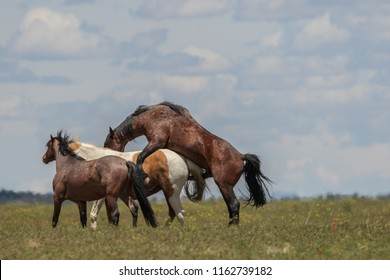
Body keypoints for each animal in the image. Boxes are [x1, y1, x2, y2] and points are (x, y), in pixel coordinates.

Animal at [68, 138, 207, 228]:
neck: (95, 162)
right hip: (168, 192)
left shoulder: (103, 195)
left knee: (179, 213)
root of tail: (182, 157)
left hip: (172, 192)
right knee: (174, 213)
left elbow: (94, 214)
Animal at [105, 100, 272, 225]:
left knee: (234, 205)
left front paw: (143, 174)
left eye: (108, 142)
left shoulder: (156, 142)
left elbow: (141, 157)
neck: (153, 117)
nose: (107, 154)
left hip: (224, 185)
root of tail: (241, 156)